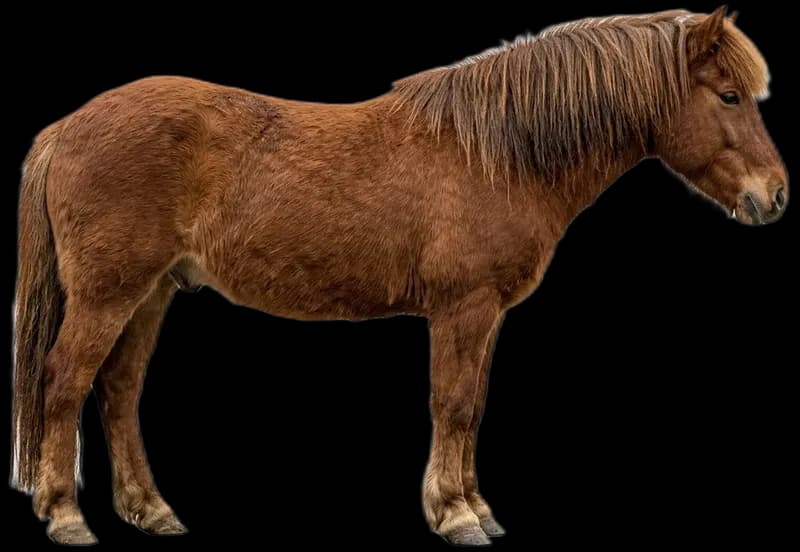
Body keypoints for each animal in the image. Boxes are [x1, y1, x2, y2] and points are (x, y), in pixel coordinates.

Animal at [11, 7, 786, 546]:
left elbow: (474, 407)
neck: (499, 152)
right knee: (66, 382)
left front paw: (477, 508)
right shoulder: (463, 309)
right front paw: (455, 516)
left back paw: (152, 511)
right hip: (109, 294)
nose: (775, 197)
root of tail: (66, 127)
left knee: (117, 392)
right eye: (728, 96)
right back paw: (66, 516)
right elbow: (452, 405)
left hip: (151, 293)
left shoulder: (488, 316)